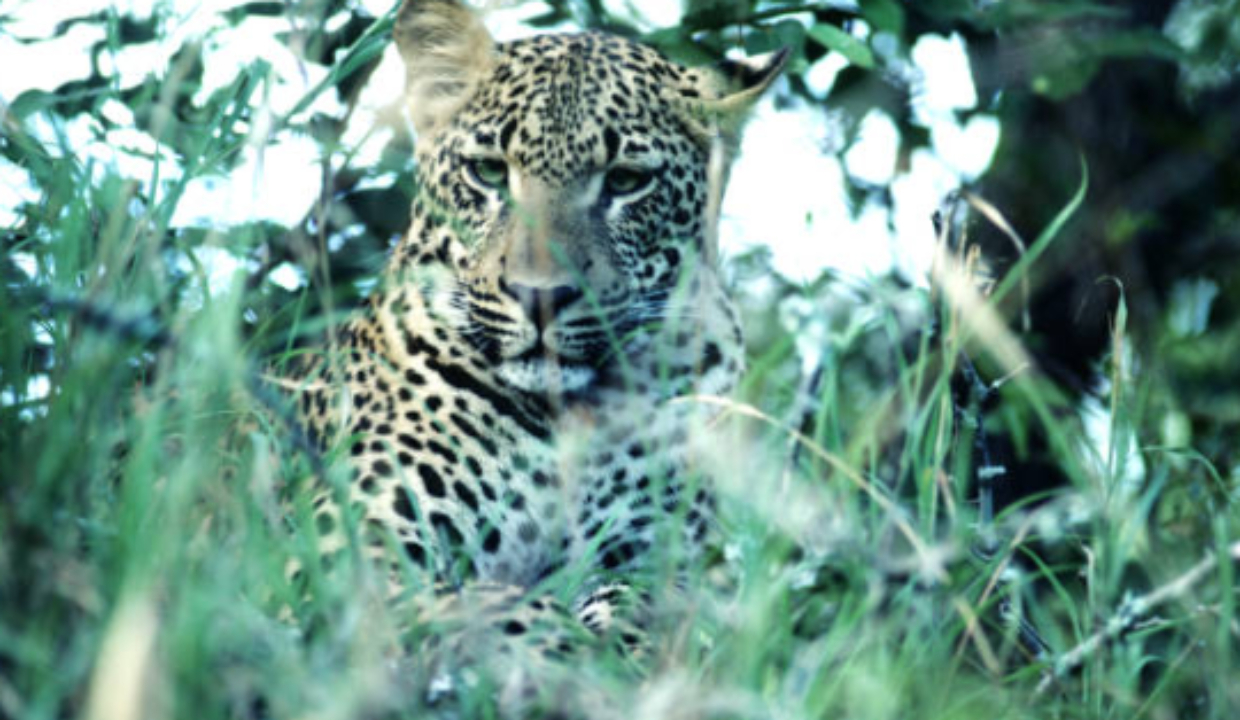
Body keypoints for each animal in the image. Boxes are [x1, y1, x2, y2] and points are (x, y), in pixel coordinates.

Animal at [280, 0, 785, 697]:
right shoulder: (349, 541)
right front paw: (571, 665)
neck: (568, 417)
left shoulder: (656, 553)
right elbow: (494, 605)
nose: (539, 297)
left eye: (626, 181)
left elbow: (649, 612)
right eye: (490, 171)